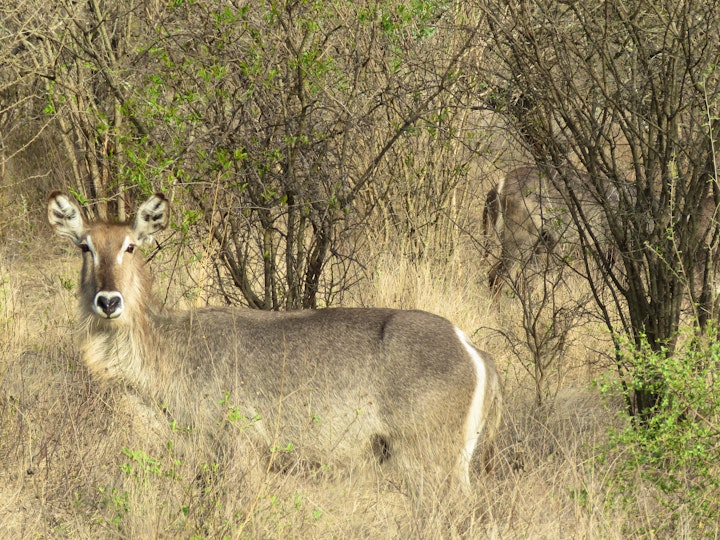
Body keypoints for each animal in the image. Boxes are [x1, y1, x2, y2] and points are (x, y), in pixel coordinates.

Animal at [46, 192, 500, 496]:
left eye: (130, 246)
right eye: (85, 246)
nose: (108, 301)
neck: (173, 347)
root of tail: (472, 348)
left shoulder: (239, 446)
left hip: (430, 457)